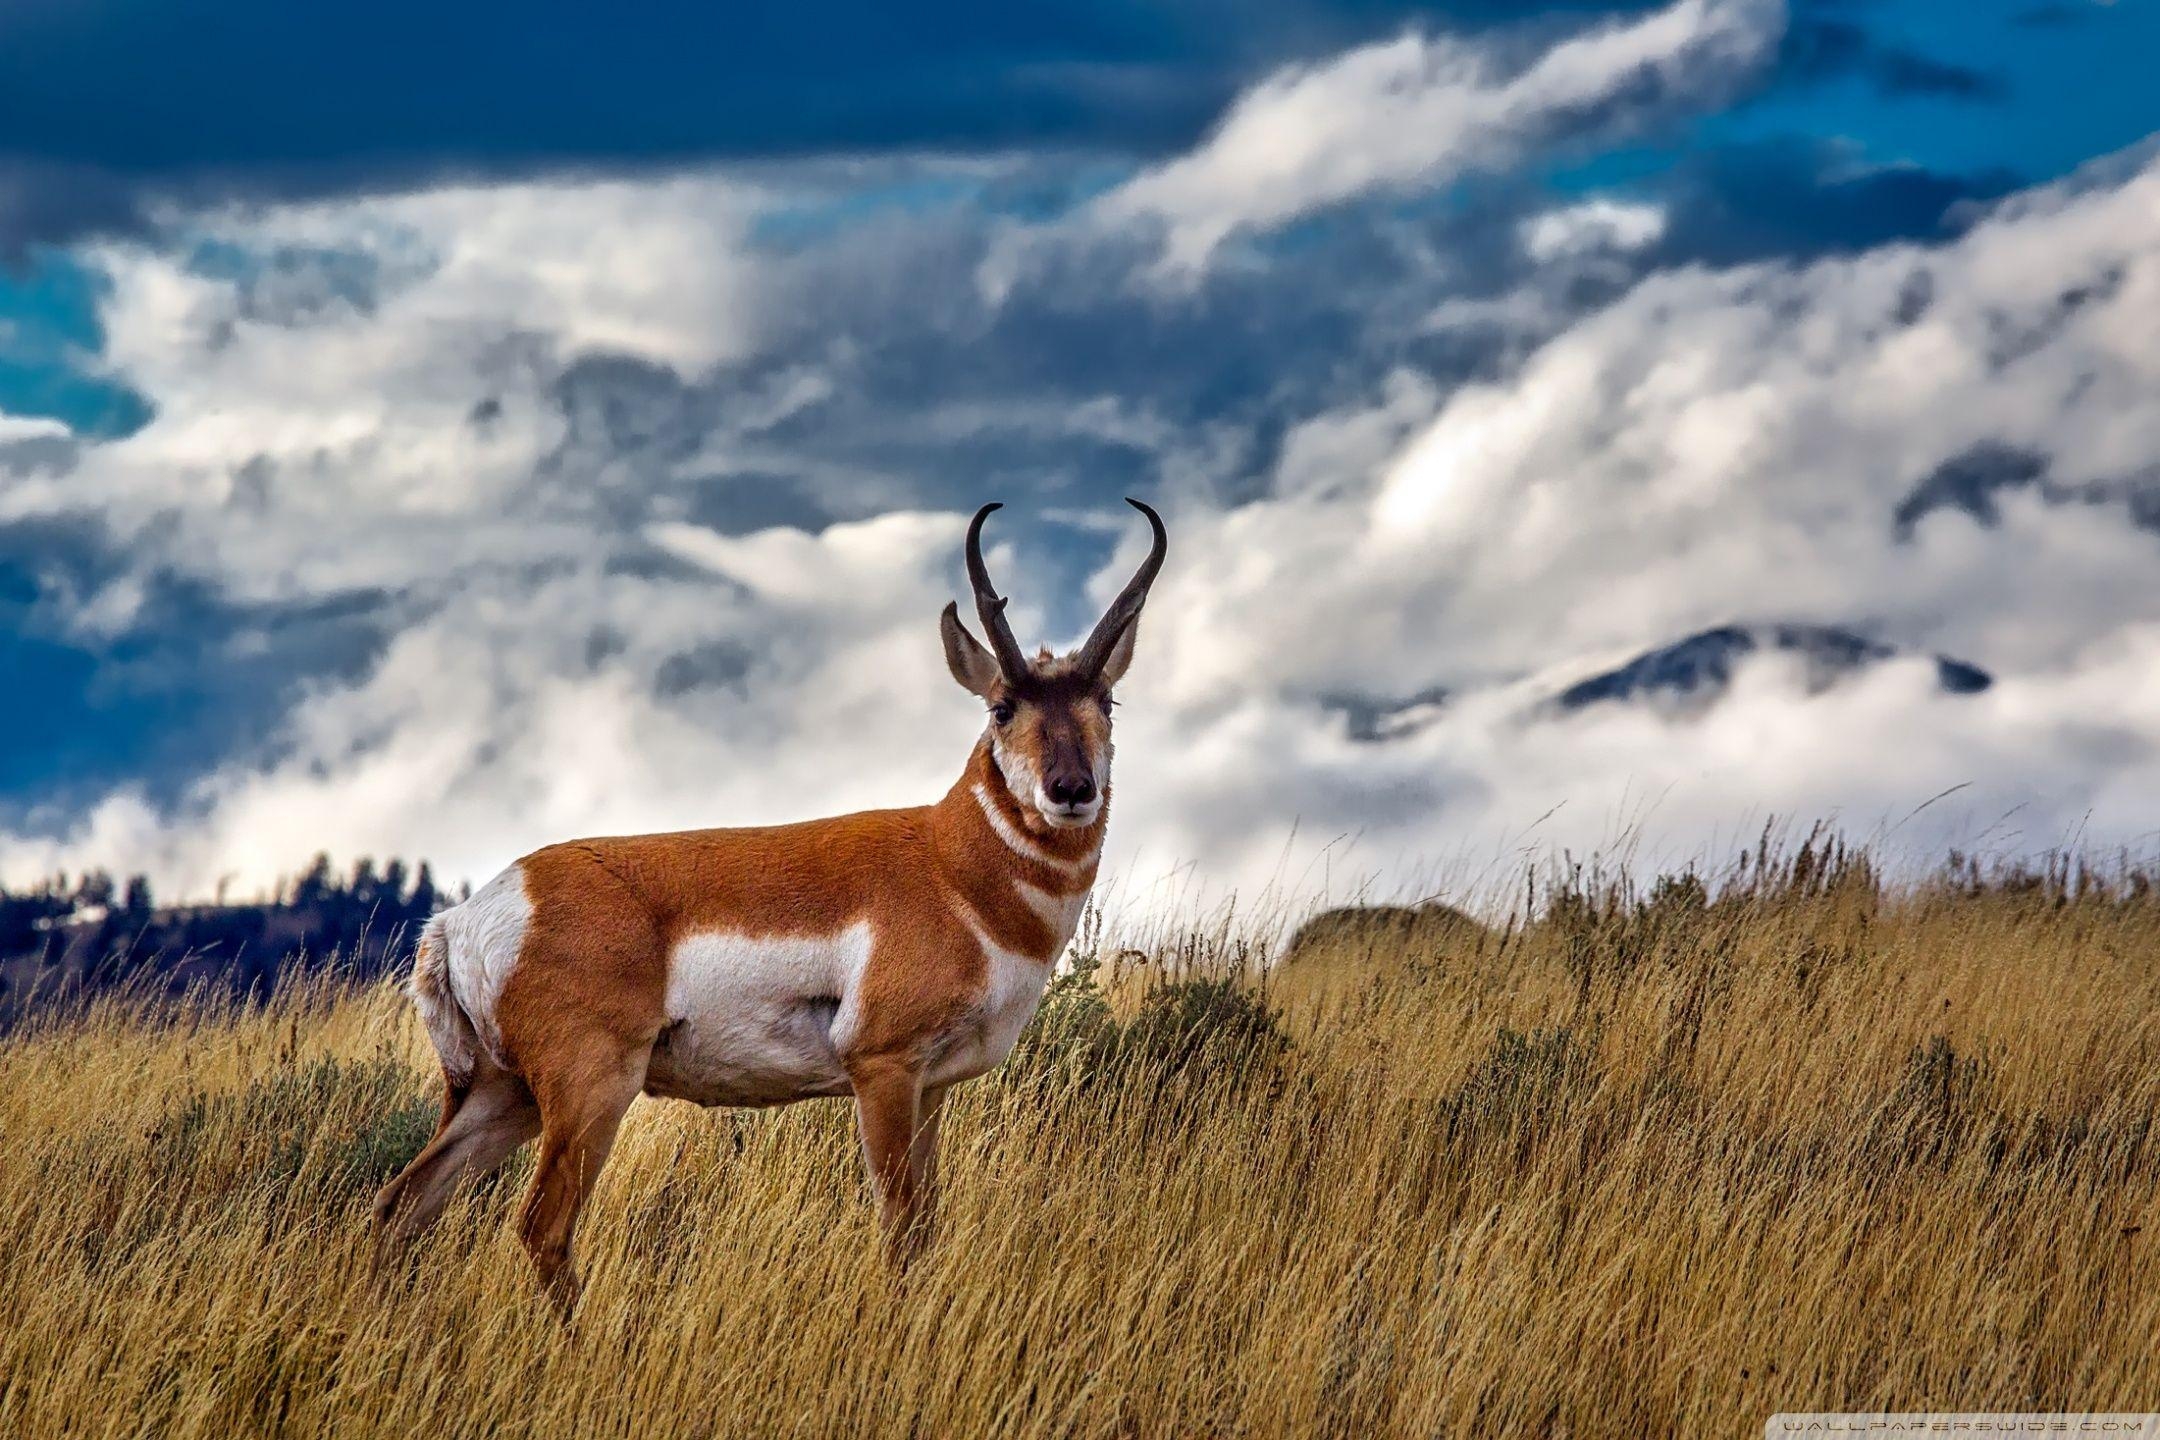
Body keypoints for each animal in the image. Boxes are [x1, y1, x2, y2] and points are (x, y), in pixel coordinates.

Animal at [371, 500, 1166, 1312]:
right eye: (1003, 707)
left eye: (1106, 701)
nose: (1071, 790)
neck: (948, 865)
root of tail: (465, 919)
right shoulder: (883, 1069)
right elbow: (900, 1229)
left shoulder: (933, 1087)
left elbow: (928, 1226)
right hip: (590, 1088)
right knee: (540, 1226)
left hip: (504, 1096)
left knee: (403, 1204)